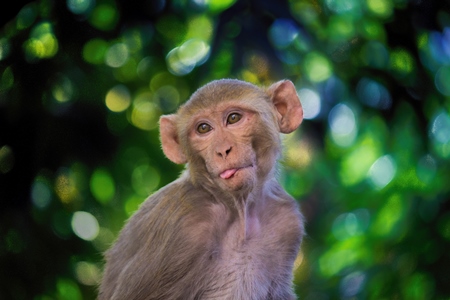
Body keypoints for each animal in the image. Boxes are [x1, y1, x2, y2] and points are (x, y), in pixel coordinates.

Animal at [96, 78, 304, 298]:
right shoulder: (180, 226)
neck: (239, 212)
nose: (222, 150)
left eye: (233, 118)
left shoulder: (287, 220)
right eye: (203, 128)